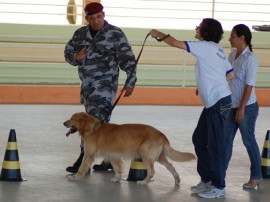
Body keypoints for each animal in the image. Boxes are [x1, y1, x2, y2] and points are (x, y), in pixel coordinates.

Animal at [65, 112, 196, 185]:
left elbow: (81, 168)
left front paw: (75, 177)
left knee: (152, 171)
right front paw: (117, 179)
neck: (92, 129)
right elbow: (117, 169)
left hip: (146, 155)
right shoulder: (113, 156)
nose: (63, 123)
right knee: (171, 166)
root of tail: (161, 134)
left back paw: (143, 182)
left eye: (72, 118)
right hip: (159, 157)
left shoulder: (88, 156)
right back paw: (177, 180)